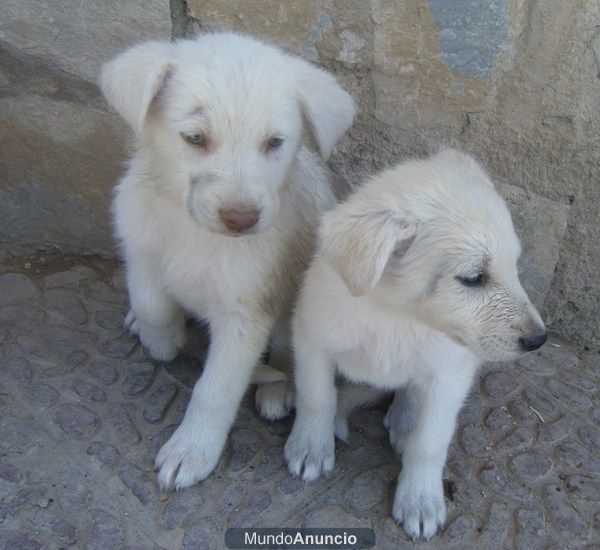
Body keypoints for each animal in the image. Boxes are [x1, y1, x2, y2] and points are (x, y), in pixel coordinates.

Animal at [100, 33, 354, 492]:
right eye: (195, 138)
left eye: (274, 142)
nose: (241, 218)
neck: (197, 236)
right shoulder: (140, 248)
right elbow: (151, 304)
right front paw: (162, 339)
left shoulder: (246, 314)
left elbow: (215, 390)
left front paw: (192, 449)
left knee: (288, 353)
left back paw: (279, 390)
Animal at [286, 151, 548, 544]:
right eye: (473, 278)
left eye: (514, 266)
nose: (538, 339)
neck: (395, 316)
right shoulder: (310, 338)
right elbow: (316, 397)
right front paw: (310, 447)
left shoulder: (450, 376)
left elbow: (429, 442)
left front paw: (420, 500)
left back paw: (403, 419)